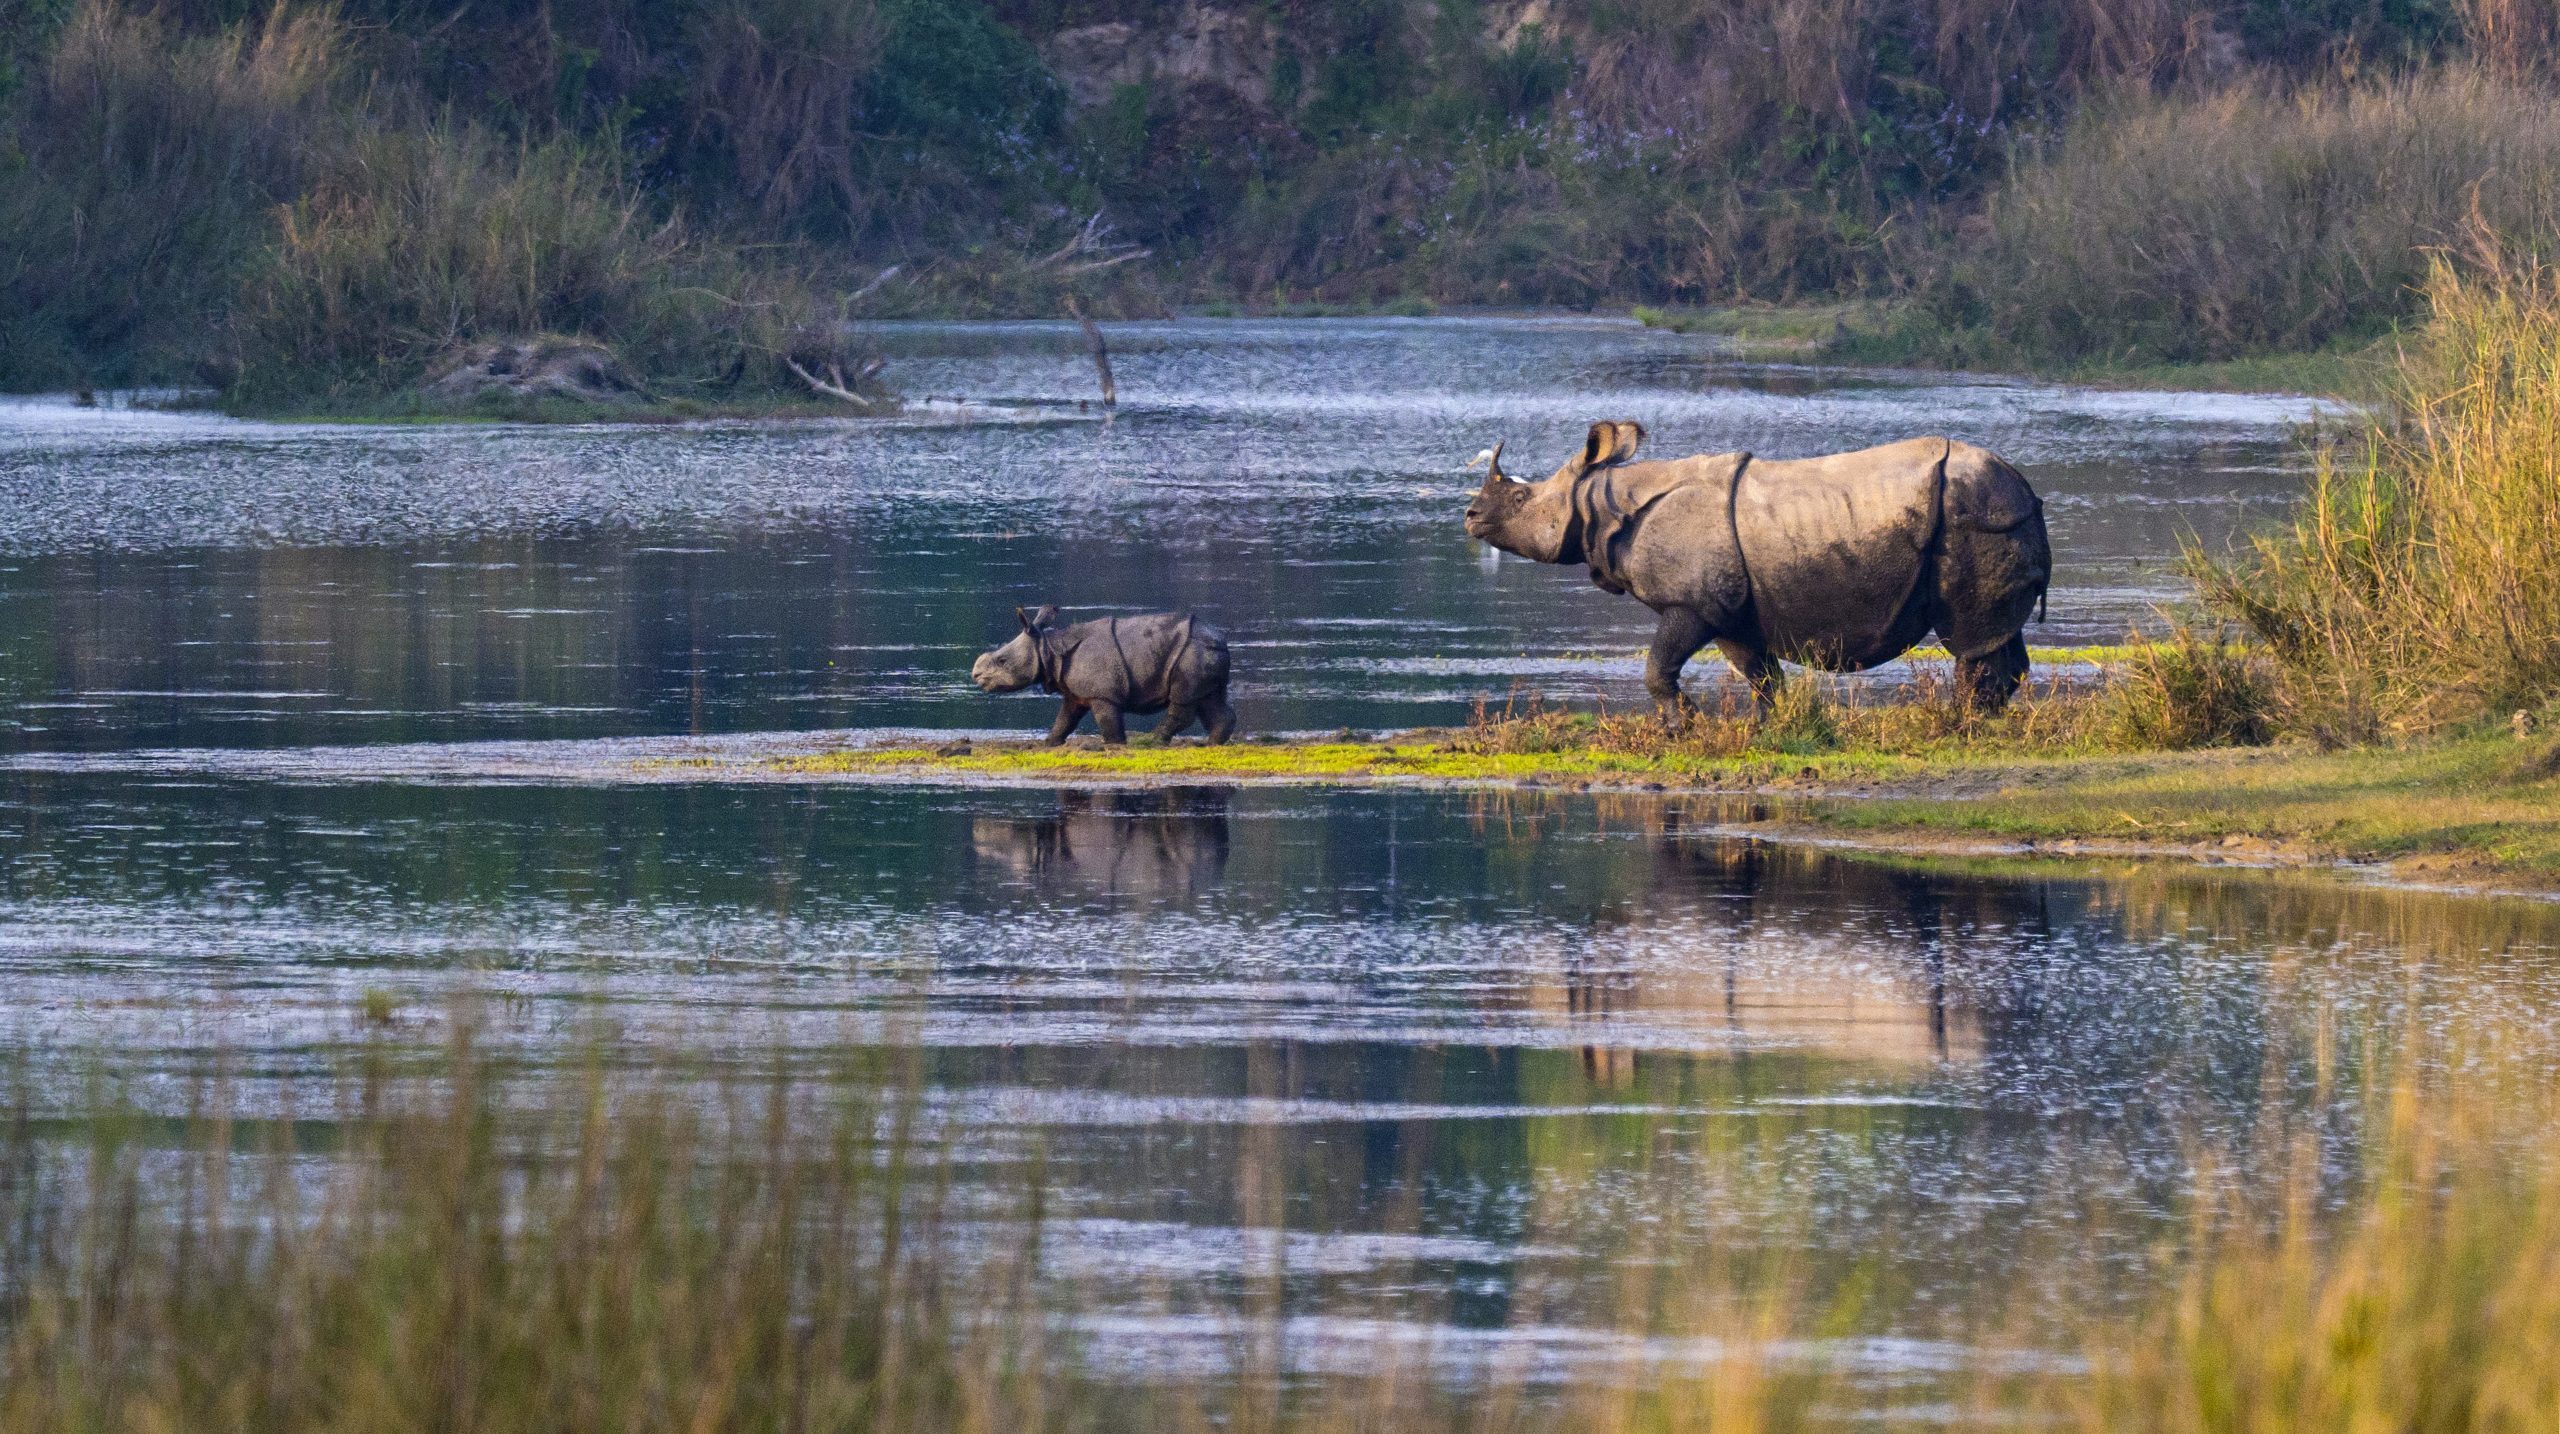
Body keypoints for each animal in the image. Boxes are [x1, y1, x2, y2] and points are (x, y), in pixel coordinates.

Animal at [971, 606, 1236, 744]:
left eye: (1002, 661)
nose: (975, 675)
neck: (1049, 648)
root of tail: (1221, 640)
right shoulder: (1075, 693)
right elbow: (1064, 719)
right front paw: (1049, 744)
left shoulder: (1102, 695)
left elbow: (1107, 721)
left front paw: (1116, 745)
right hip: (1201, 653)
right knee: (1208, 699)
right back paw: (1211, 744)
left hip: (1191, 652)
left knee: (1184, 700)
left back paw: (1152, 741)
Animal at [1463, 421, 2050, 712]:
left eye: (1520, 499)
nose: (1470, 517)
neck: (1600, 501)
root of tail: (2025, 487)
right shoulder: (1732, 610)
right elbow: (1762, 678)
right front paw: (1768, 730)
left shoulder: (1693, 602)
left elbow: (1658, 668)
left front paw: (1684, 730)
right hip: (1997, 516)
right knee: (1997, 635)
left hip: (1974, 517)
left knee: (1969, 640)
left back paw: (1958, 726)